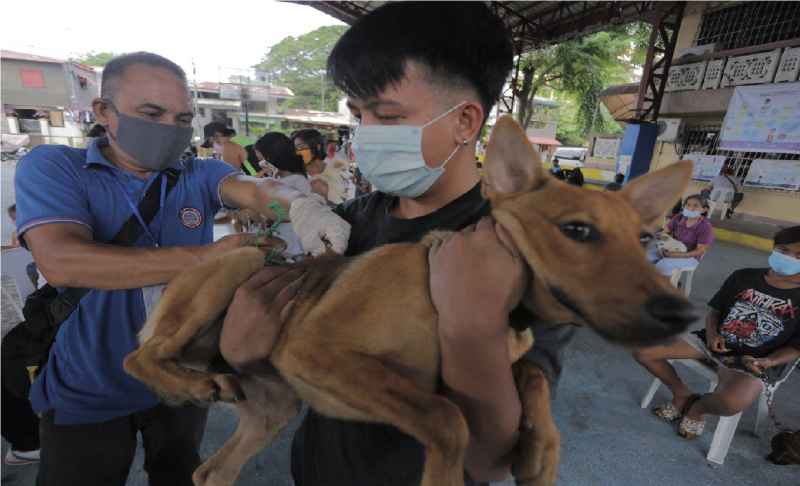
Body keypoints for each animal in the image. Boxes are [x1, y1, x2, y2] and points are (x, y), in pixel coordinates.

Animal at [123, 117, 692, 486]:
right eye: (577, 230)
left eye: (644, 239)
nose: (682, 314)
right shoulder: (315, 351)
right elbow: (446, 416)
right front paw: (445, 475)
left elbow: (531, 373)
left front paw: (542, 452)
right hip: (238, 263)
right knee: (138, 358)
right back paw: (186, 382)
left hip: (274, 406)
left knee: (210, 471)